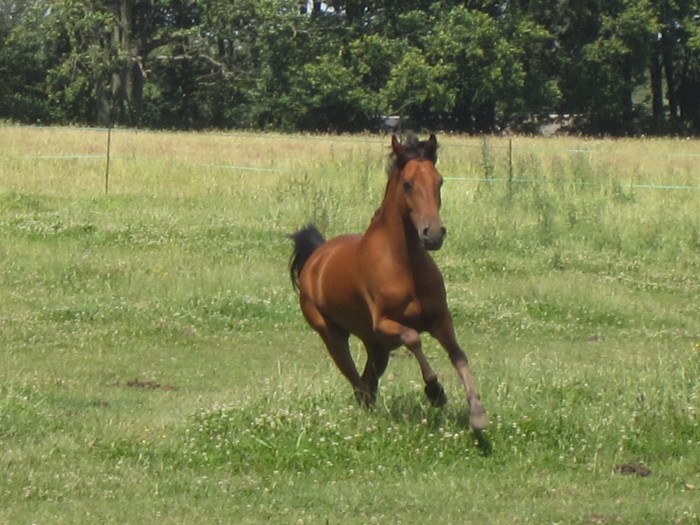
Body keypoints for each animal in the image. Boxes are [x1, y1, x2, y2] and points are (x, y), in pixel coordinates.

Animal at [288, 132, 490, 430]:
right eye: (407, 184)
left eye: (439, 181)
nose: (433, 234)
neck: (405, 266)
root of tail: (316, 256)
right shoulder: (384, 324)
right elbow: (413, 337)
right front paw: (435, 391)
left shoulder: (439, 318)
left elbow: (458, 353)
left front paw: (477, 412)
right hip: (332, 335)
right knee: (358, 384)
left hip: (376, 347)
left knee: (367, 384)